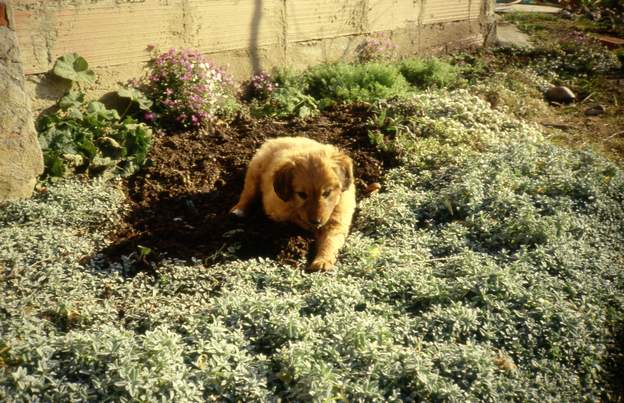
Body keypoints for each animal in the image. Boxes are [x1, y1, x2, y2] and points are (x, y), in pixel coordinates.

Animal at [230, 137, 356, 272]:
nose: (316, 221)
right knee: (248, 193)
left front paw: (322, 262)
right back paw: (238, 210)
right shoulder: (277, 211)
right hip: (255, 171)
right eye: (302, 194)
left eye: (327, 193)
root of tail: (278, 139)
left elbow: (330, 242)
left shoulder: (337, 223)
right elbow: (296, 220)